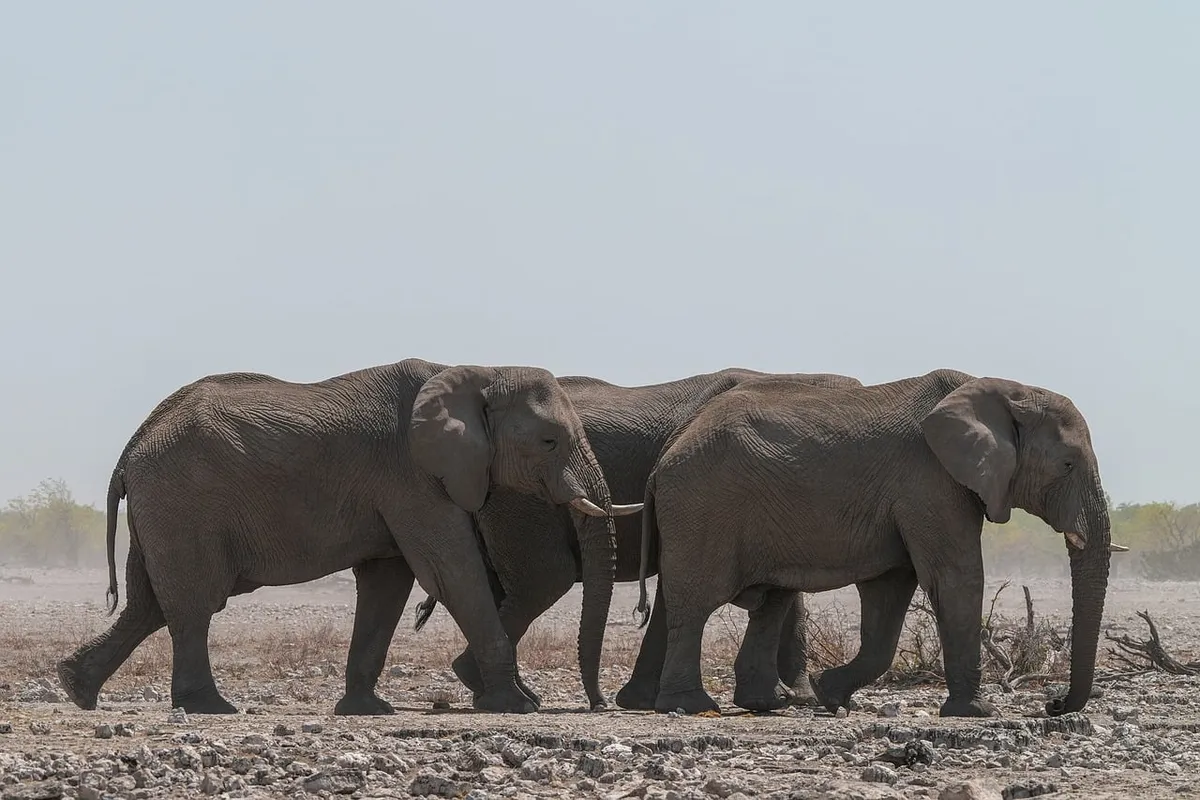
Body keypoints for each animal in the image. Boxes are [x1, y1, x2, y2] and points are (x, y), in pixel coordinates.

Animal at [56, 358, 640, 715]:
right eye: (550, 441)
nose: (599, 705)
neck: (478, 370)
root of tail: (134, 445)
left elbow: (388, 582)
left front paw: (367, 710)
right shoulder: (411, 475)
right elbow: (450, 570)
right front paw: (517, 705)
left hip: (163, 508)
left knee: (148, 605)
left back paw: (76, 687)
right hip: (182, 503)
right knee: (194, 604)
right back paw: (210, 707)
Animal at [635, 369, 1115, 718]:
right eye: (1067, 465)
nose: (1052, 705)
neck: (1003, 390)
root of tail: (665, 455)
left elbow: (891, 591)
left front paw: (831, 695)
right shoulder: (930, 481)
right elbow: (954, 578)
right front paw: (977, 712)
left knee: (770, 601)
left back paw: (766, 705)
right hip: (702, 505)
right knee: (695, 603)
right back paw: (691, 707)